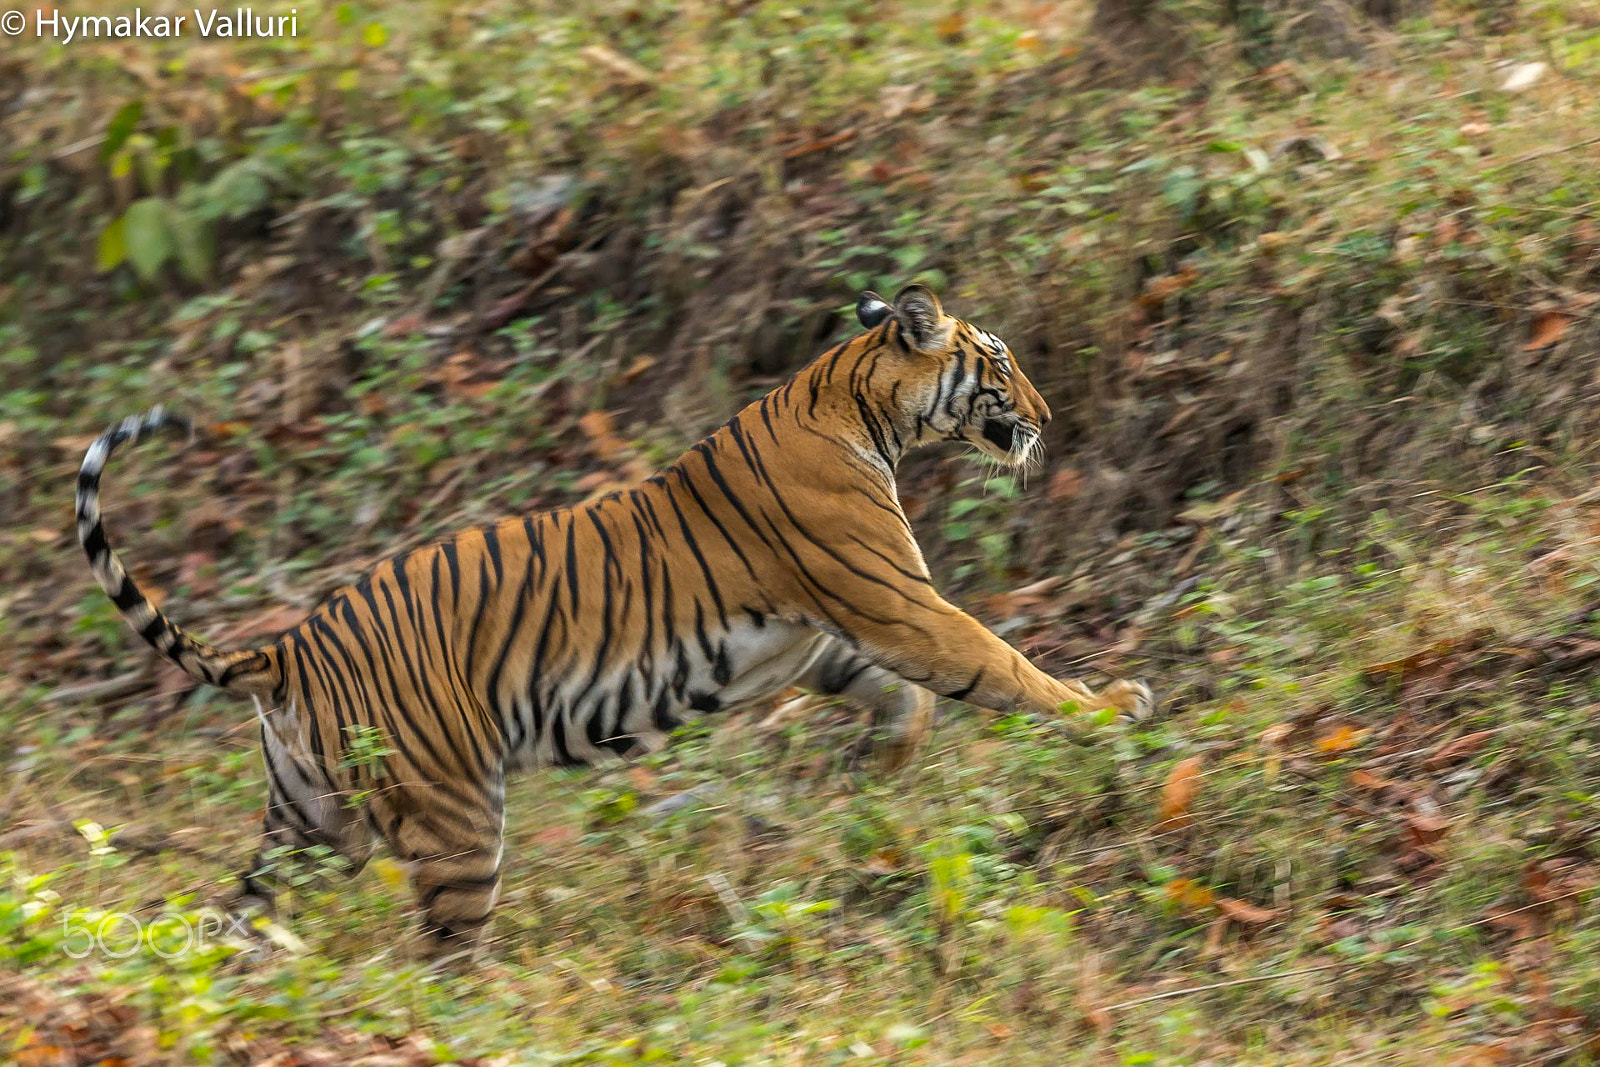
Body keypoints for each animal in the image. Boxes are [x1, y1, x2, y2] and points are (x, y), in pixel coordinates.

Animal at [78, 283, 1152, 959]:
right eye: (1000, 361)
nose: (1050, 413)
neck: (859, 402)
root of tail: (290, 646)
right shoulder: (895, 603)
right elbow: (1001, 665)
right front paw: (1112, 708)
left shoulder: (820, 637)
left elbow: (906, 703)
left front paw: (872, 773)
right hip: (454, 814)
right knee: (442, 959)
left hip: (309, 822)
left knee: (238, 924)